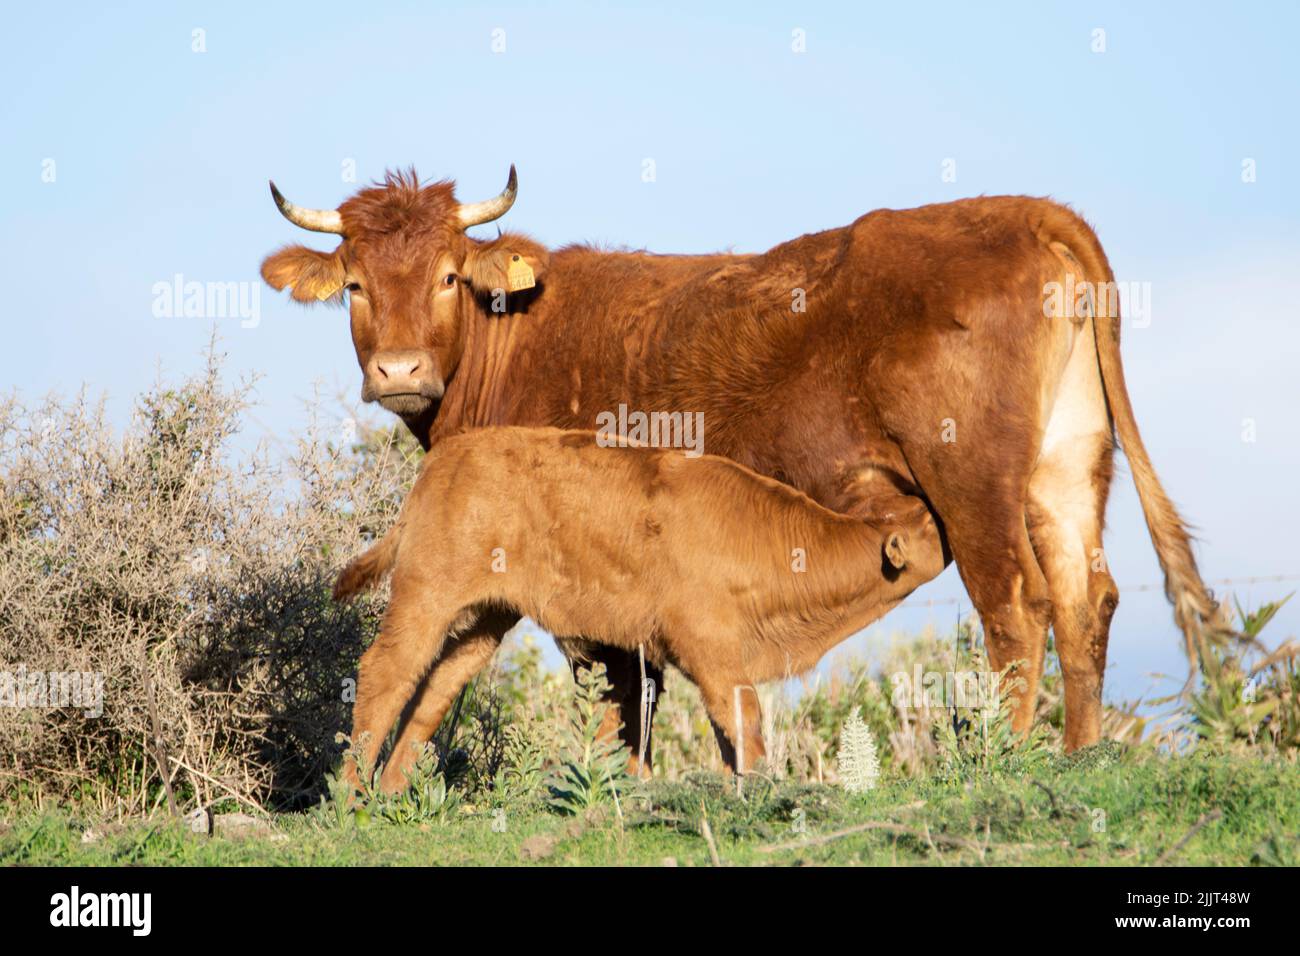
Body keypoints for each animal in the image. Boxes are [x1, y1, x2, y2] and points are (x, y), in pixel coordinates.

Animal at [335, 429, 946, 790]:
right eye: (928, 523)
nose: (949, 518)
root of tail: (447, 454)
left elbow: (728, 733)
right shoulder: (712, 652)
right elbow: (744, 725)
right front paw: (757, 792)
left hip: (484, 619)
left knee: (434, 688)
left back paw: (390, 790)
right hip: (425, 595)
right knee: (386, 673)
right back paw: (350, 794)